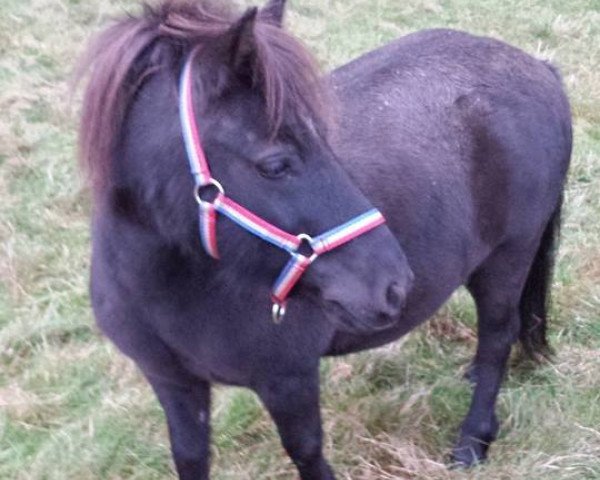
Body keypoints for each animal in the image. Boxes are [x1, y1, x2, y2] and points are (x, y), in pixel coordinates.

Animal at [79, 0, 572, 478]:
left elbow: (307, 453)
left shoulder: (289, 380)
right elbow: (189, 457)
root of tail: (539, 68)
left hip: (508, 257)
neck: (176, 294)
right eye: (275, 164)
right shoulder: (172, 383)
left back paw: (473, 440)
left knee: (498, 335)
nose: (393, 283)